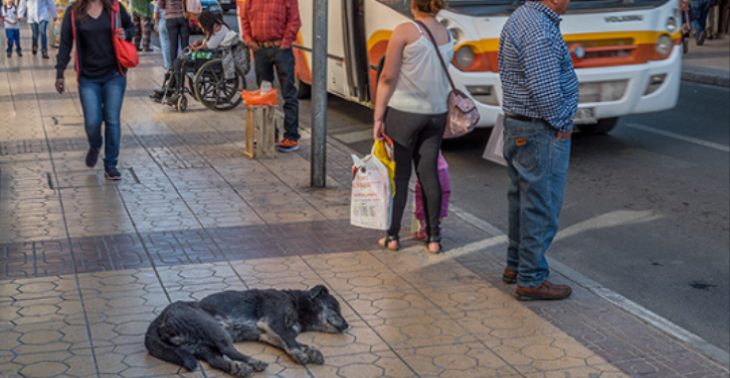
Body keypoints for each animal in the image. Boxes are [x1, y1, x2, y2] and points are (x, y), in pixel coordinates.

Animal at [146, 284, 350, 376]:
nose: (347, 325)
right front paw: (300, 355)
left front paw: (311, 351)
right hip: (213, 328)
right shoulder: (273, 322)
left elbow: (295, 343)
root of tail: (160, 317)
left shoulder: (268, 334)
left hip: (199, 345)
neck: (298, 305)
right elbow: (291, 342)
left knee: (214, 360)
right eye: (335, 307)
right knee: (228, 349)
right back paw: (252, 361)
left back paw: (236, 367)